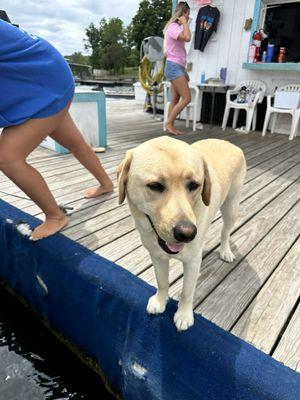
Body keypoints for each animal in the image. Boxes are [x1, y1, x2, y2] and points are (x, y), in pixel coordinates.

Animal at [117, 138, 246, 332]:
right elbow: (162, 282)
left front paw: (184, 315)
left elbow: (187, 292)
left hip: (231, 208)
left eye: (194, 185)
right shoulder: (157, 256)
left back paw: (225, 251)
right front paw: (160, 301)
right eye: (155, 186)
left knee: (225, 232)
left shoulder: (192, 261)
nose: (187, 233)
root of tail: (228, 142)